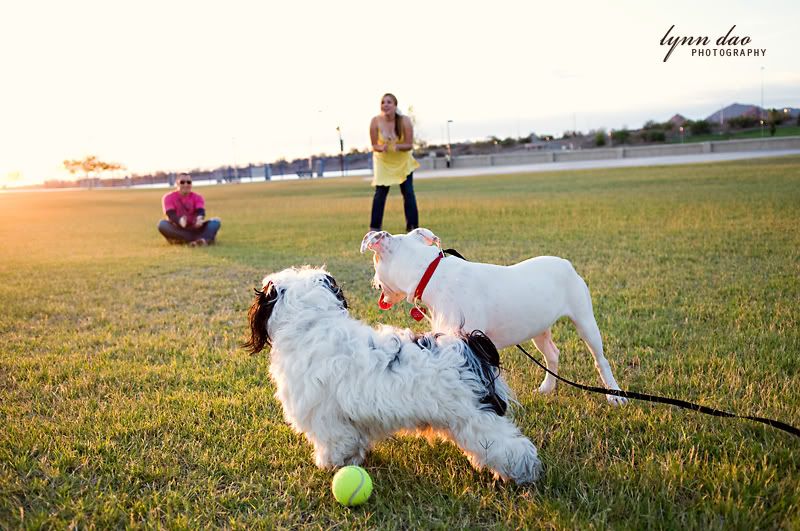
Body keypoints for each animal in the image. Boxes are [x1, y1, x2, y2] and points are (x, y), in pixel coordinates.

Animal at [244, 268, 544, 484]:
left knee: (515, 449)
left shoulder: (326, 419)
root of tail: (470, 346)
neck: (313, 324)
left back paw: (522, 476)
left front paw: (330, 464)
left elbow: (335, 445)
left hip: (478, 421)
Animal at [362, 229, 632, 408]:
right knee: (552, 354)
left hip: (585, 322)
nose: (373, 282)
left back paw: (614, 394)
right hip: (537, 328)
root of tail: (566, 263)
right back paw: (547, 387)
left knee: (600, 360)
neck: (430, 274)